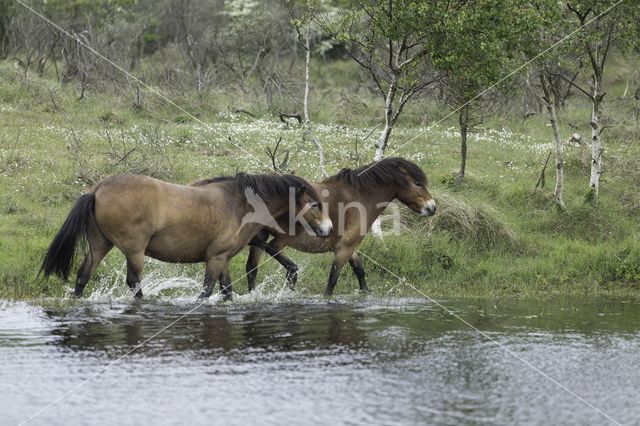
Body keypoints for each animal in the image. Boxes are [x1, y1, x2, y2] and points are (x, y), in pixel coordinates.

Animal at [40, 172, 330, 300]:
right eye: (314, 204)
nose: (327, 230)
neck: (237, 204)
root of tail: (98, 189)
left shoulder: (222, 259)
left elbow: (227, 291)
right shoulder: (215, 259)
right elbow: (207, 291)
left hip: (100, 245)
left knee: (83, 275)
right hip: (134, 250)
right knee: (133, 282)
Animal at [244, 156, 436, 296]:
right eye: (418, 183)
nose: (432, 207)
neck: (360, 196)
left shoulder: (351, 247)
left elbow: (359, 271)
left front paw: (366, 295)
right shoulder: (344, 248)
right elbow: (333, 280)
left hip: (261, 235)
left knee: (252, 270)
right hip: (284, 236)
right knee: (272, 248)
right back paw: (292, 273)